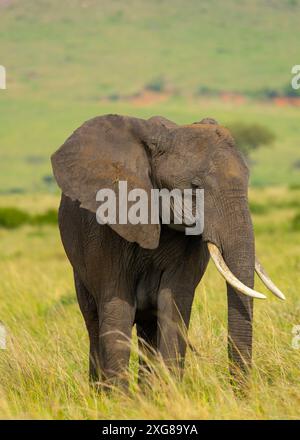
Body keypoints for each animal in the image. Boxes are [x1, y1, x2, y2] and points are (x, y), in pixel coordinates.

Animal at [50, 115, 284, 386]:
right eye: (195, 187)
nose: (240, 393)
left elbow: (174, 307)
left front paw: (168, 392)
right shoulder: (106, 232)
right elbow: (116, 309)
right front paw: (119, 396)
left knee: (148, 329)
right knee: (93, 320)